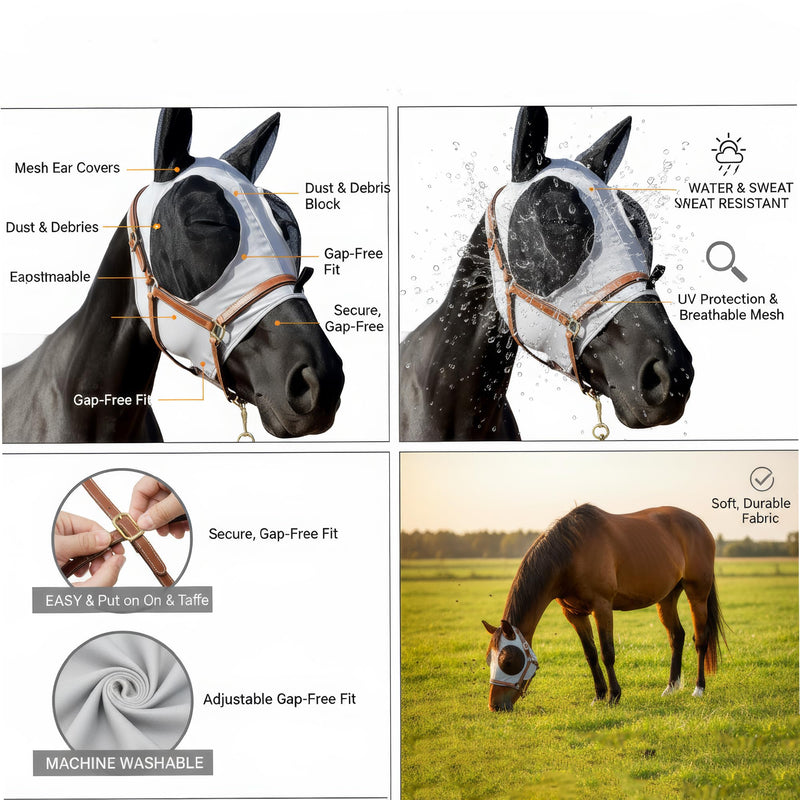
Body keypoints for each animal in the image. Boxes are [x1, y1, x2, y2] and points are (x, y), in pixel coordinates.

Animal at [482, 504, 726, 711]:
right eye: (488, 659)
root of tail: (700, 525)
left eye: (508, 661)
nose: (495, 706)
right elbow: (590, 653)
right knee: (677, 636)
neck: (572, 552)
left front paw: (613, 696)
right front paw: (599, 695)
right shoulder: (574, 614)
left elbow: (607, 653)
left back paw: (699, 688)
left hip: (697, 594)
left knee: (700, 640)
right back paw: (671, 687)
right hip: (667, 598)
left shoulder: (602, 607)